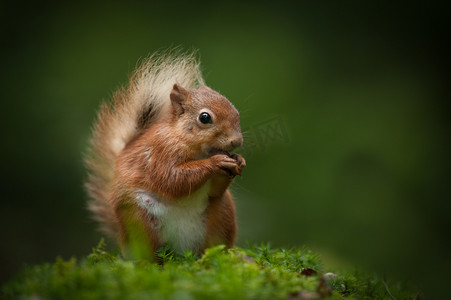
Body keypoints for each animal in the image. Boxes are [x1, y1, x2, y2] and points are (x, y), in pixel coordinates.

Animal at [85, 51, 247, 258]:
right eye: (205, 117)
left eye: (235, 110)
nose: (237, 141)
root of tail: (182, 250)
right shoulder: (160, 152)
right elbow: (173, 179)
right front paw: (216, 162)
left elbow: (214, 189)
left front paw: (239, 161)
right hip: (139, 222)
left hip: (222, 215)